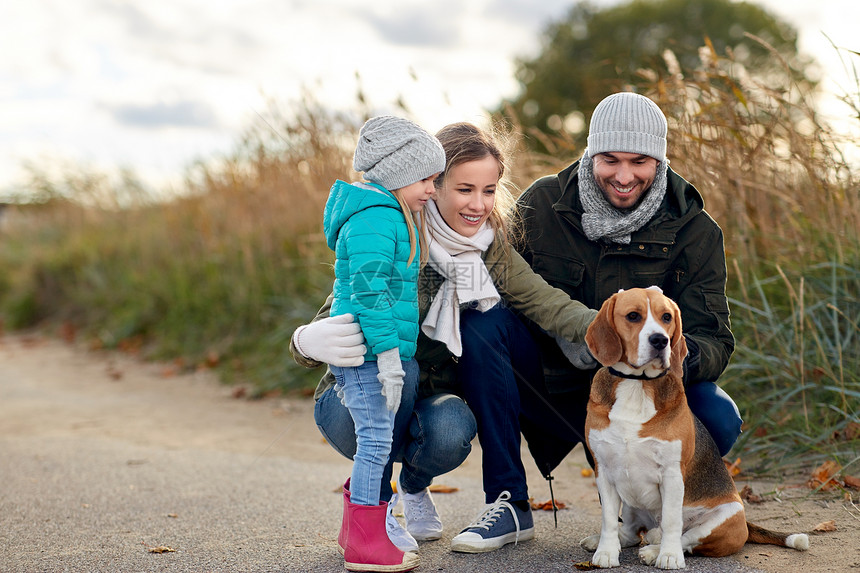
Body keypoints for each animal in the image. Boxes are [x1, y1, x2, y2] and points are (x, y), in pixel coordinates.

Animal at [580, 286, 808, 568]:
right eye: (633, 316)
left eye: (666, 317)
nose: (660, 341)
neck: (636, 384)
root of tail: (745, 522)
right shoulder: (604, 470)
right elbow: (609, 519)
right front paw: (607, 552)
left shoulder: (671, 473)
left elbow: (671, 520)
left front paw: (668, 556)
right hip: (633, 503)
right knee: (633, 532)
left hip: (724, 517)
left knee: (683, 537)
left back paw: (656, 550)